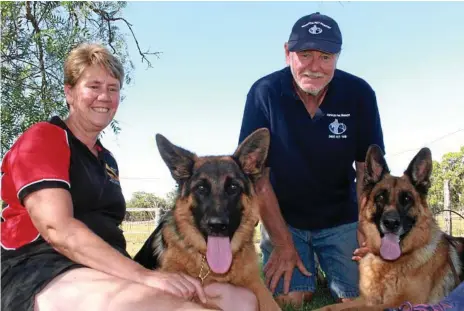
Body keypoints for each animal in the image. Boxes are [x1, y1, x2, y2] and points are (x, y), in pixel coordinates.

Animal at [318, 146, 462, 311]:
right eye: (380, 197)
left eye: (406, 199)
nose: (391, 223)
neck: (389, 262)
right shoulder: (366, 299)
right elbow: (328, 307)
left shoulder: (402, 303)